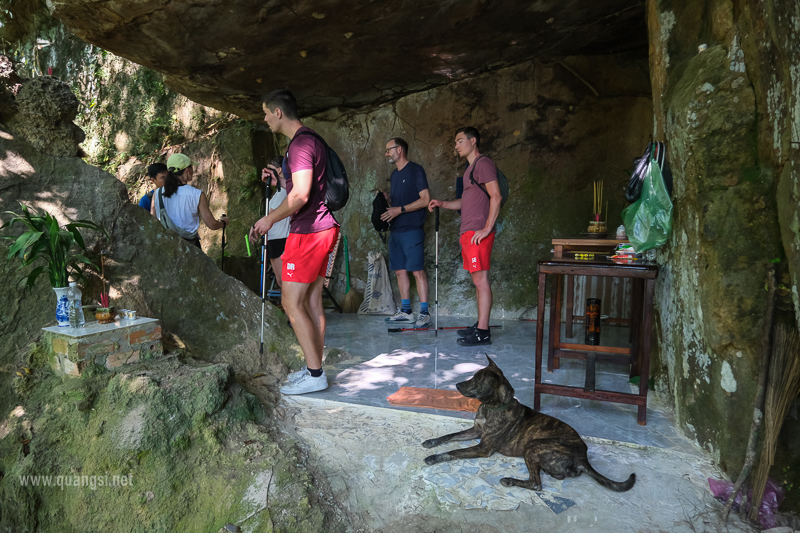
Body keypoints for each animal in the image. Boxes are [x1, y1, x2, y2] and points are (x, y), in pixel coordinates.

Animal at [422, 356, 636, 492]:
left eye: (476, 379)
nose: (457, 385)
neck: (491, 407)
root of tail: (583, 456)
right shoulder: (476, 431)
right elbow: (449, 436)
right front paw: (431, 442)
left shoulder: (483, 448)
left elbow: (454, 451)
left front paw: (433, 457)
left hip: (533, 446)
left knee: (536, 484)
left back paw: (510, 480)